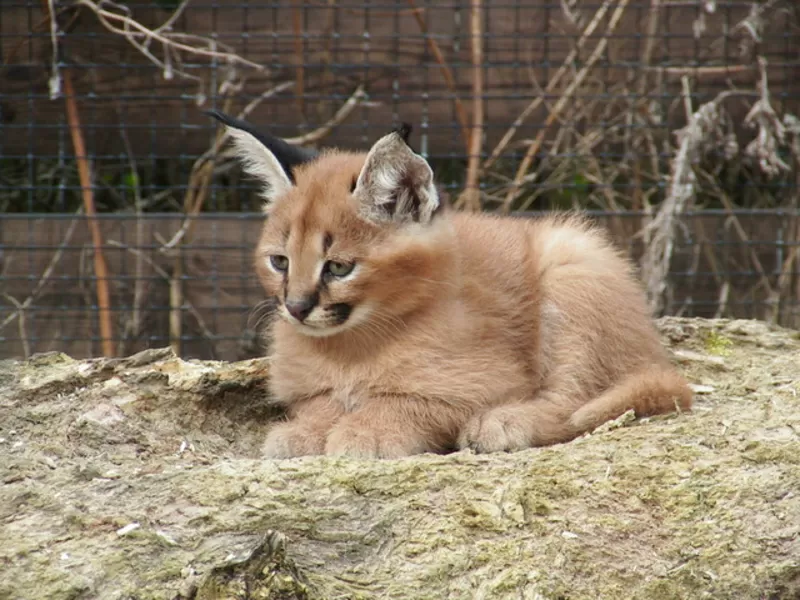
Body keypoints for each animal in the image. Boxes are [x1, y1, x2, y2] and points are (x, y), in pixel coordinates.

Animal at [208, 111, 692, 460]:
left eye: (339, 267)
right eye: (279, 262)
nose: (296, 307)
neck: (351, 347)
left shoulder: (484, 379)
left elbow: (410, 400)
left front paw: (368, 430)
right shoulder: (308, 385)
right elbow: (320, 400)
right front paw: (307, 430)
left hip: (571, 262)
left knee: (577, 398)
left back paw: (505, 423)